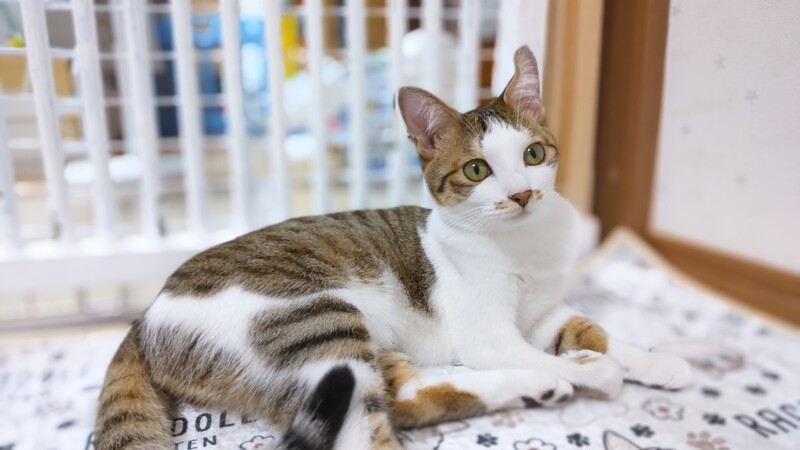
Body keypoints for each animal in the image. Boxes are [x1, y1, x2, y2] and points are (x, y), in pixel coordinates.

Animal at [94, 46, 692, 450]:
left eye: (534, 154)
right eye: (477, 170)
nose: (522, 194)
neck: (521, 244)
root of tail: (146, 316)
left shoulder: (546, 311)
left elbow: (594, 330)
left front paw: (656, 362)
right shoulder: (487, 334)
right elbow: (533, 349)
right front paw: (595, 372)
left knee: (407, 395)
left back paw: (537, 386)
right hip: (317, 322)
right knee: (372, 423)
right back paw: (549, 379)